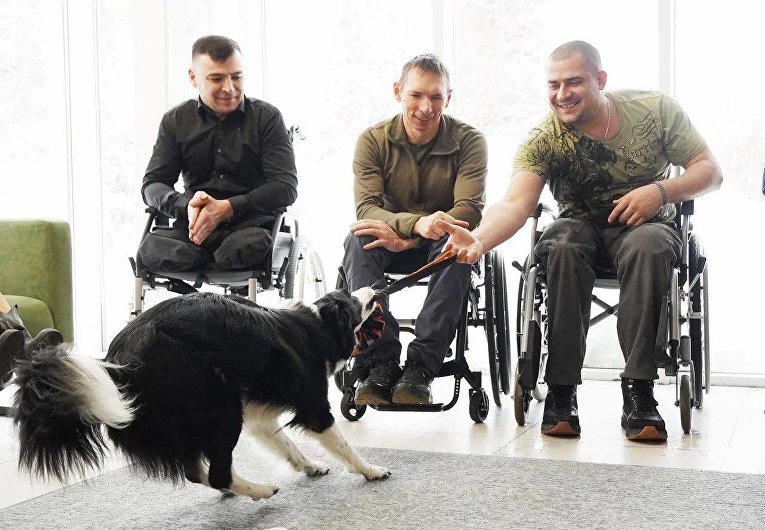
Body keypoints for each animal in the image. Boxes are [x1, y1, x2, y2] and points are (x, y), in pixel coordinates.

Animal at [13, 287, 390, 501]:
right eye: (352, 298)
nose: (377, 289)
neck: (318, 324)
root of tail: (119, 364)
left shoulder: (260, 417)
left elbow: (286, 444)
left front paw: (309, 466)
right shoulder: (313, 406)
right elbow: (343, 444)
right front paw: (372, 471)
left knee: (200, 473)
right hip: (221, 406)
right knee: (216, 472)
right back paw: (261, 491)